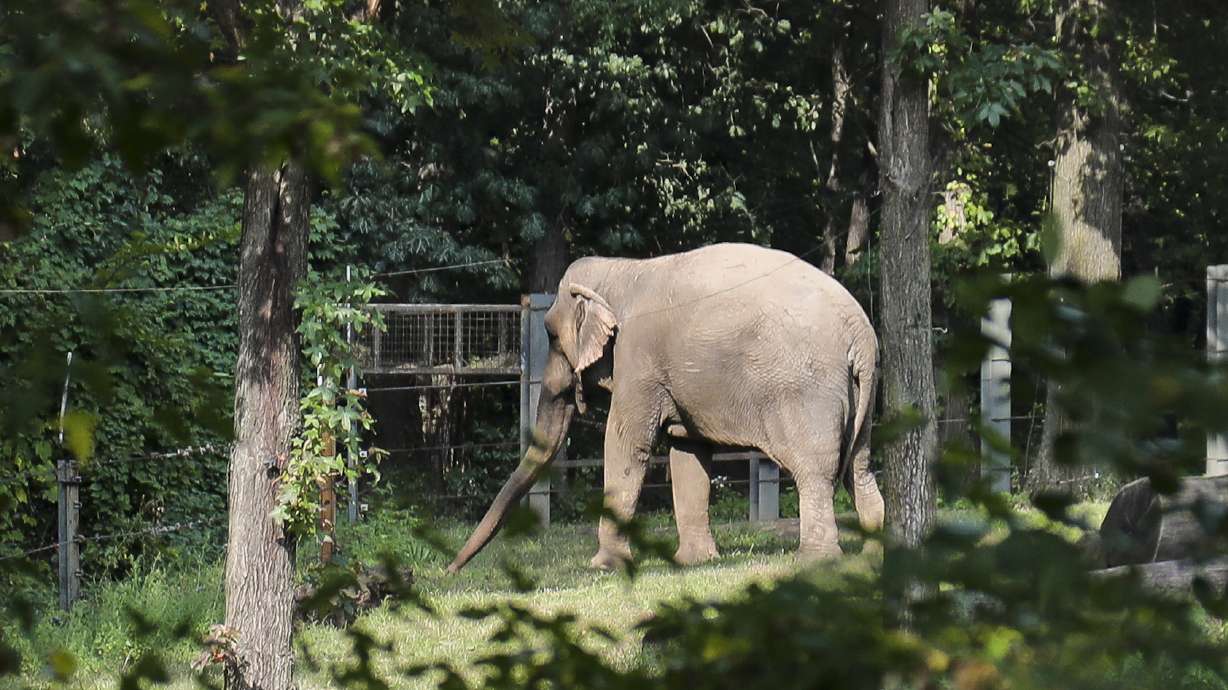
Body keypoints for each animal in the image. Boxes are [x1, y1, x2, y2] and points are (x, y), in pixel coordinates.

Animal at [446, 242, 883, 573]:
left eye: (551, 336)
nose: (450, 571)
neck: (622, 269)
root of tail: (860, 333)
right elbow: (688, 454)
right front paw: (695, 562)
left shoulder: (637, 361)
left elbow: (625, 444)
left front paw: (603, 566)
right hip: (859, 394)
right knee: (859, 467)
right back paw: (875, 552)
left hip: (806, 393)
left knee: (816, 471)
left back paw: (816, 560)